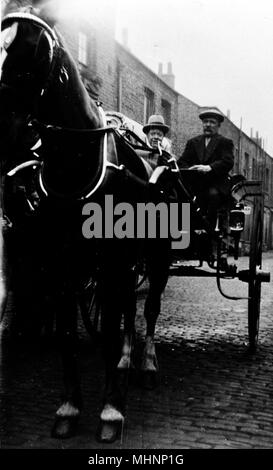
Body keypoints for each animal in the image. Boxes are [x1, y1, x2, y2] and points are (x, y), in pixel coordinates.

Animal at [0, 5, 171, 442]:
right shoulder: (61, 264)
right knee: (129, 308)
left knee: (149, 309)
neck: (76, 165)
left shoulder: (111, 265)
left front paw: (111, 411)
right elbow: (66, 335)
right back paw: (127, 362)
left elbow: (109, 332)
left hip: (156, 259)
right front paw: (69, 408)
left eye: (32, 48)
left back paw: (146, 364)